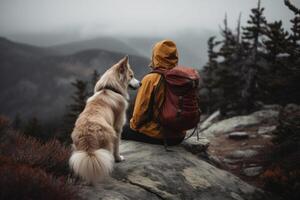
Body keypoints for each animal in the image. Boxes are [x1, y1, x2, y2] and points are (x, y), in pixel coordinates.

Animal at [69, 55, 141, 184]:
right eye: (131, 76)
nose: (141, 83)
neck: (110, 88)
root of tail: (88, 137)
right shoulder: (118, 128)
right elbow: (117, 147)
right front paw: (119, 158)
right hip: (108, 140)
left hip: (77, 151)